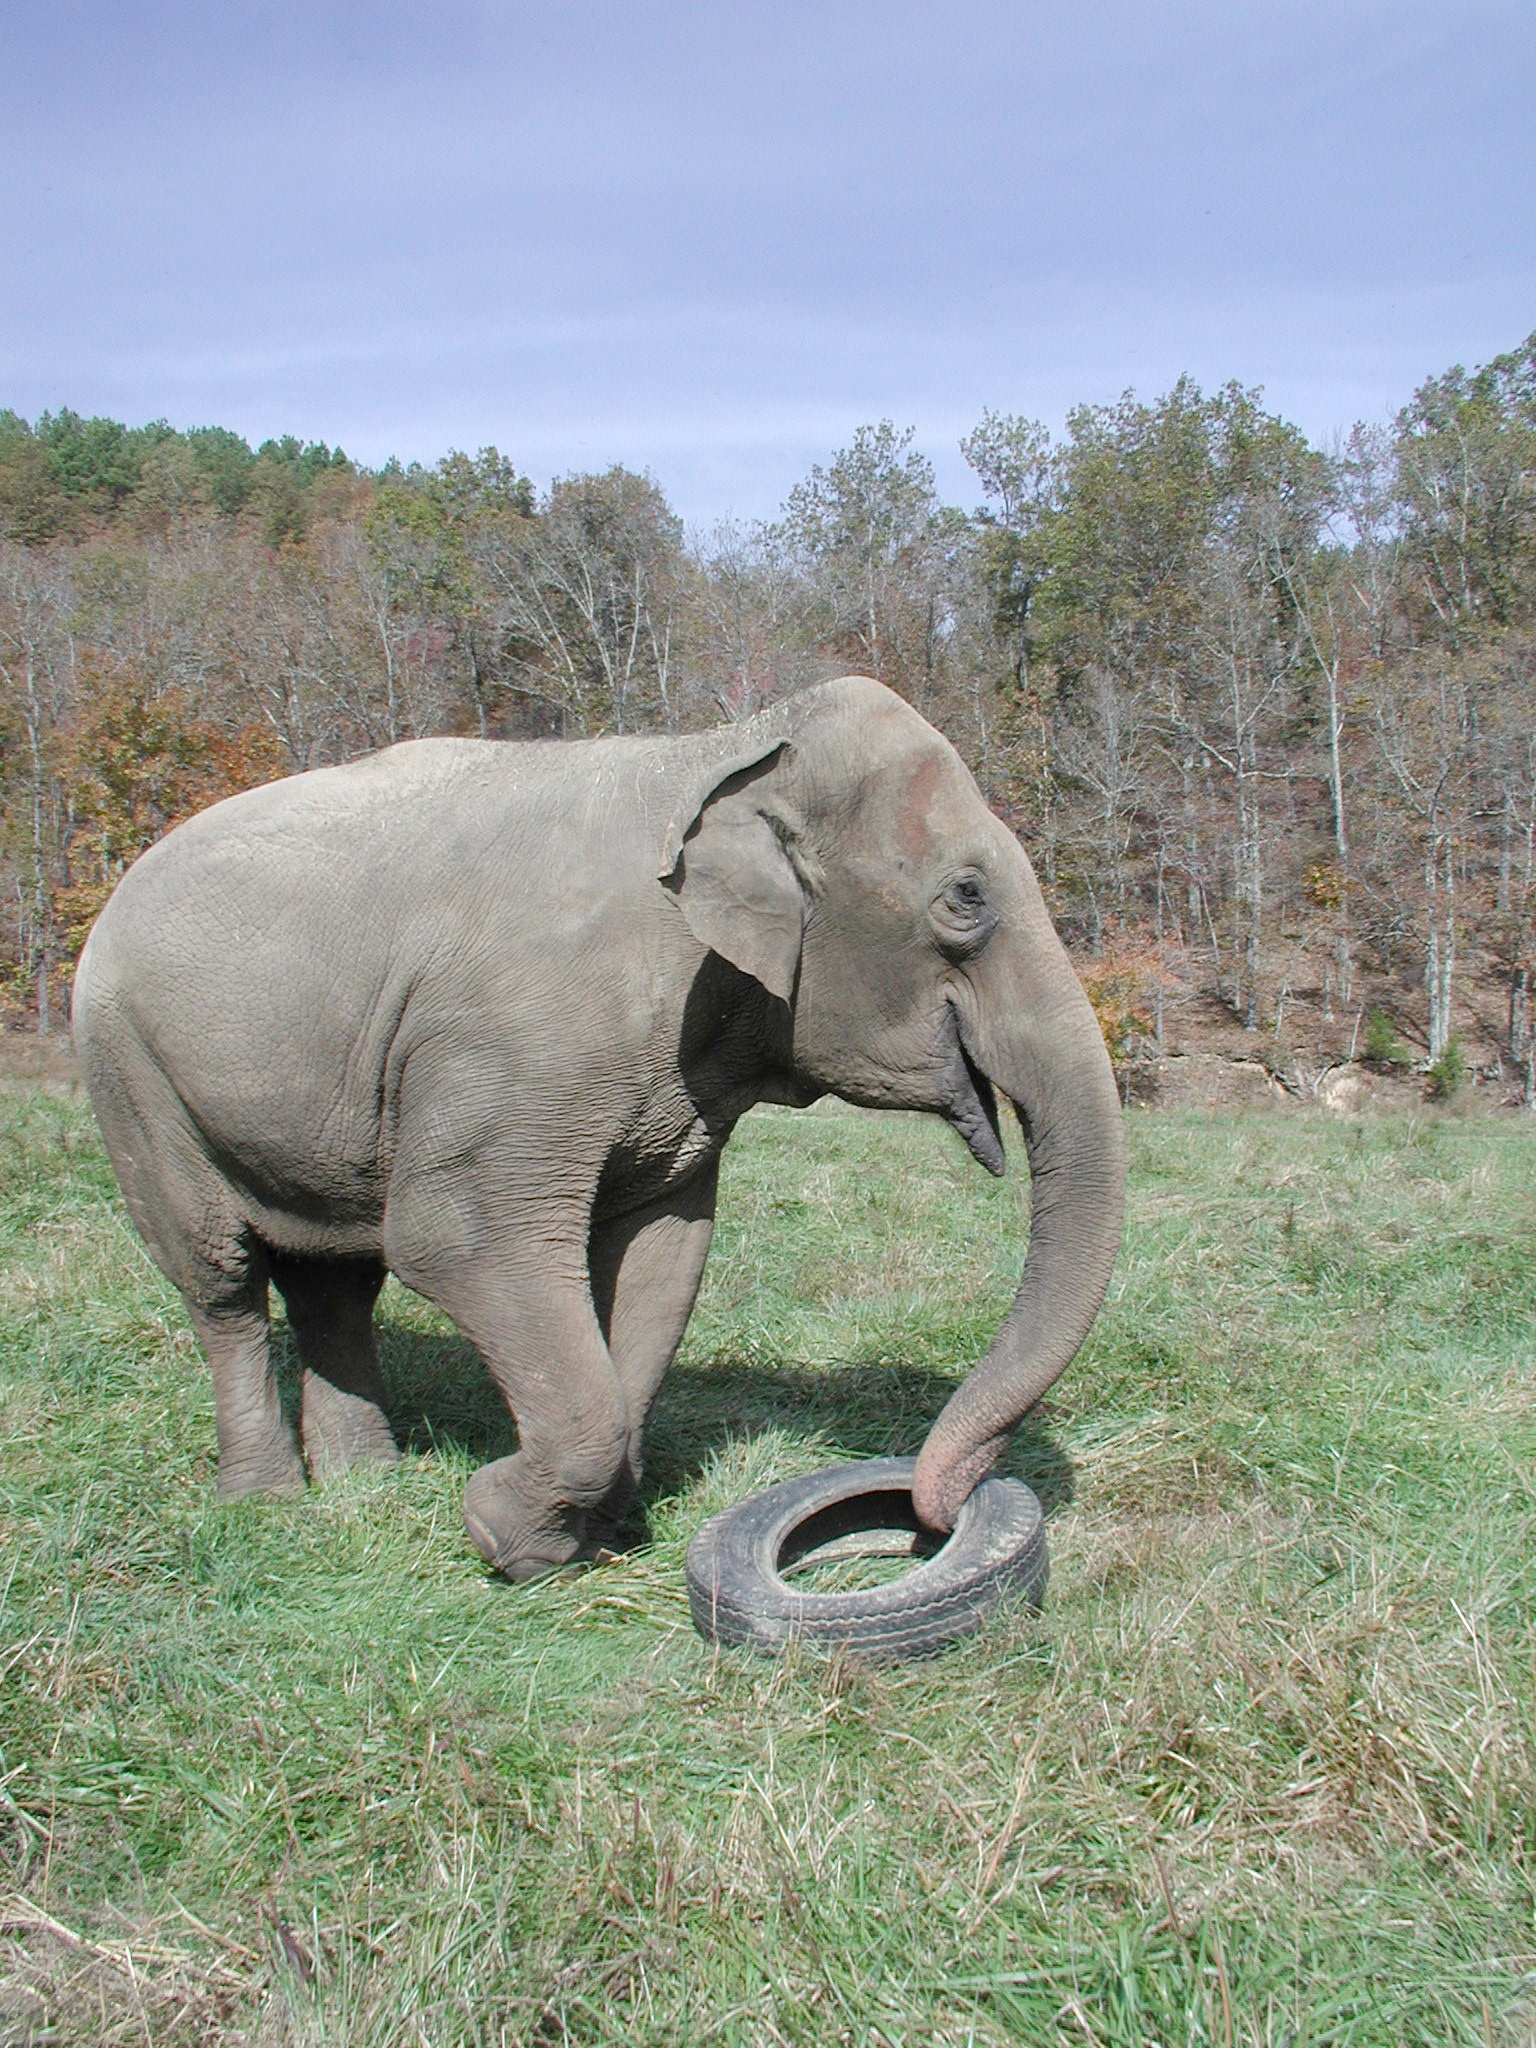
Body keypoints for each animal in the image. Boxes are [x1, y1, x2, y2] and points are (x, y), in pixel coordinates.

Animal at [71, 676, 1125, 1580]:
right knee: (219, 1278)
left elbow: (663, 1256)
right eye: (967, 898)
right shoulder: (515, 1041)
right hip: (129, 1068)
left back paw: (368, 1486)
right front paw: (507, 1535)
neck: (720, 750)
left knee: (335, 1280)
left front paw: (606, 1532)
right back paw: (267, 1503)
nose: (929, 1514)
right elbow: (454, 1240)